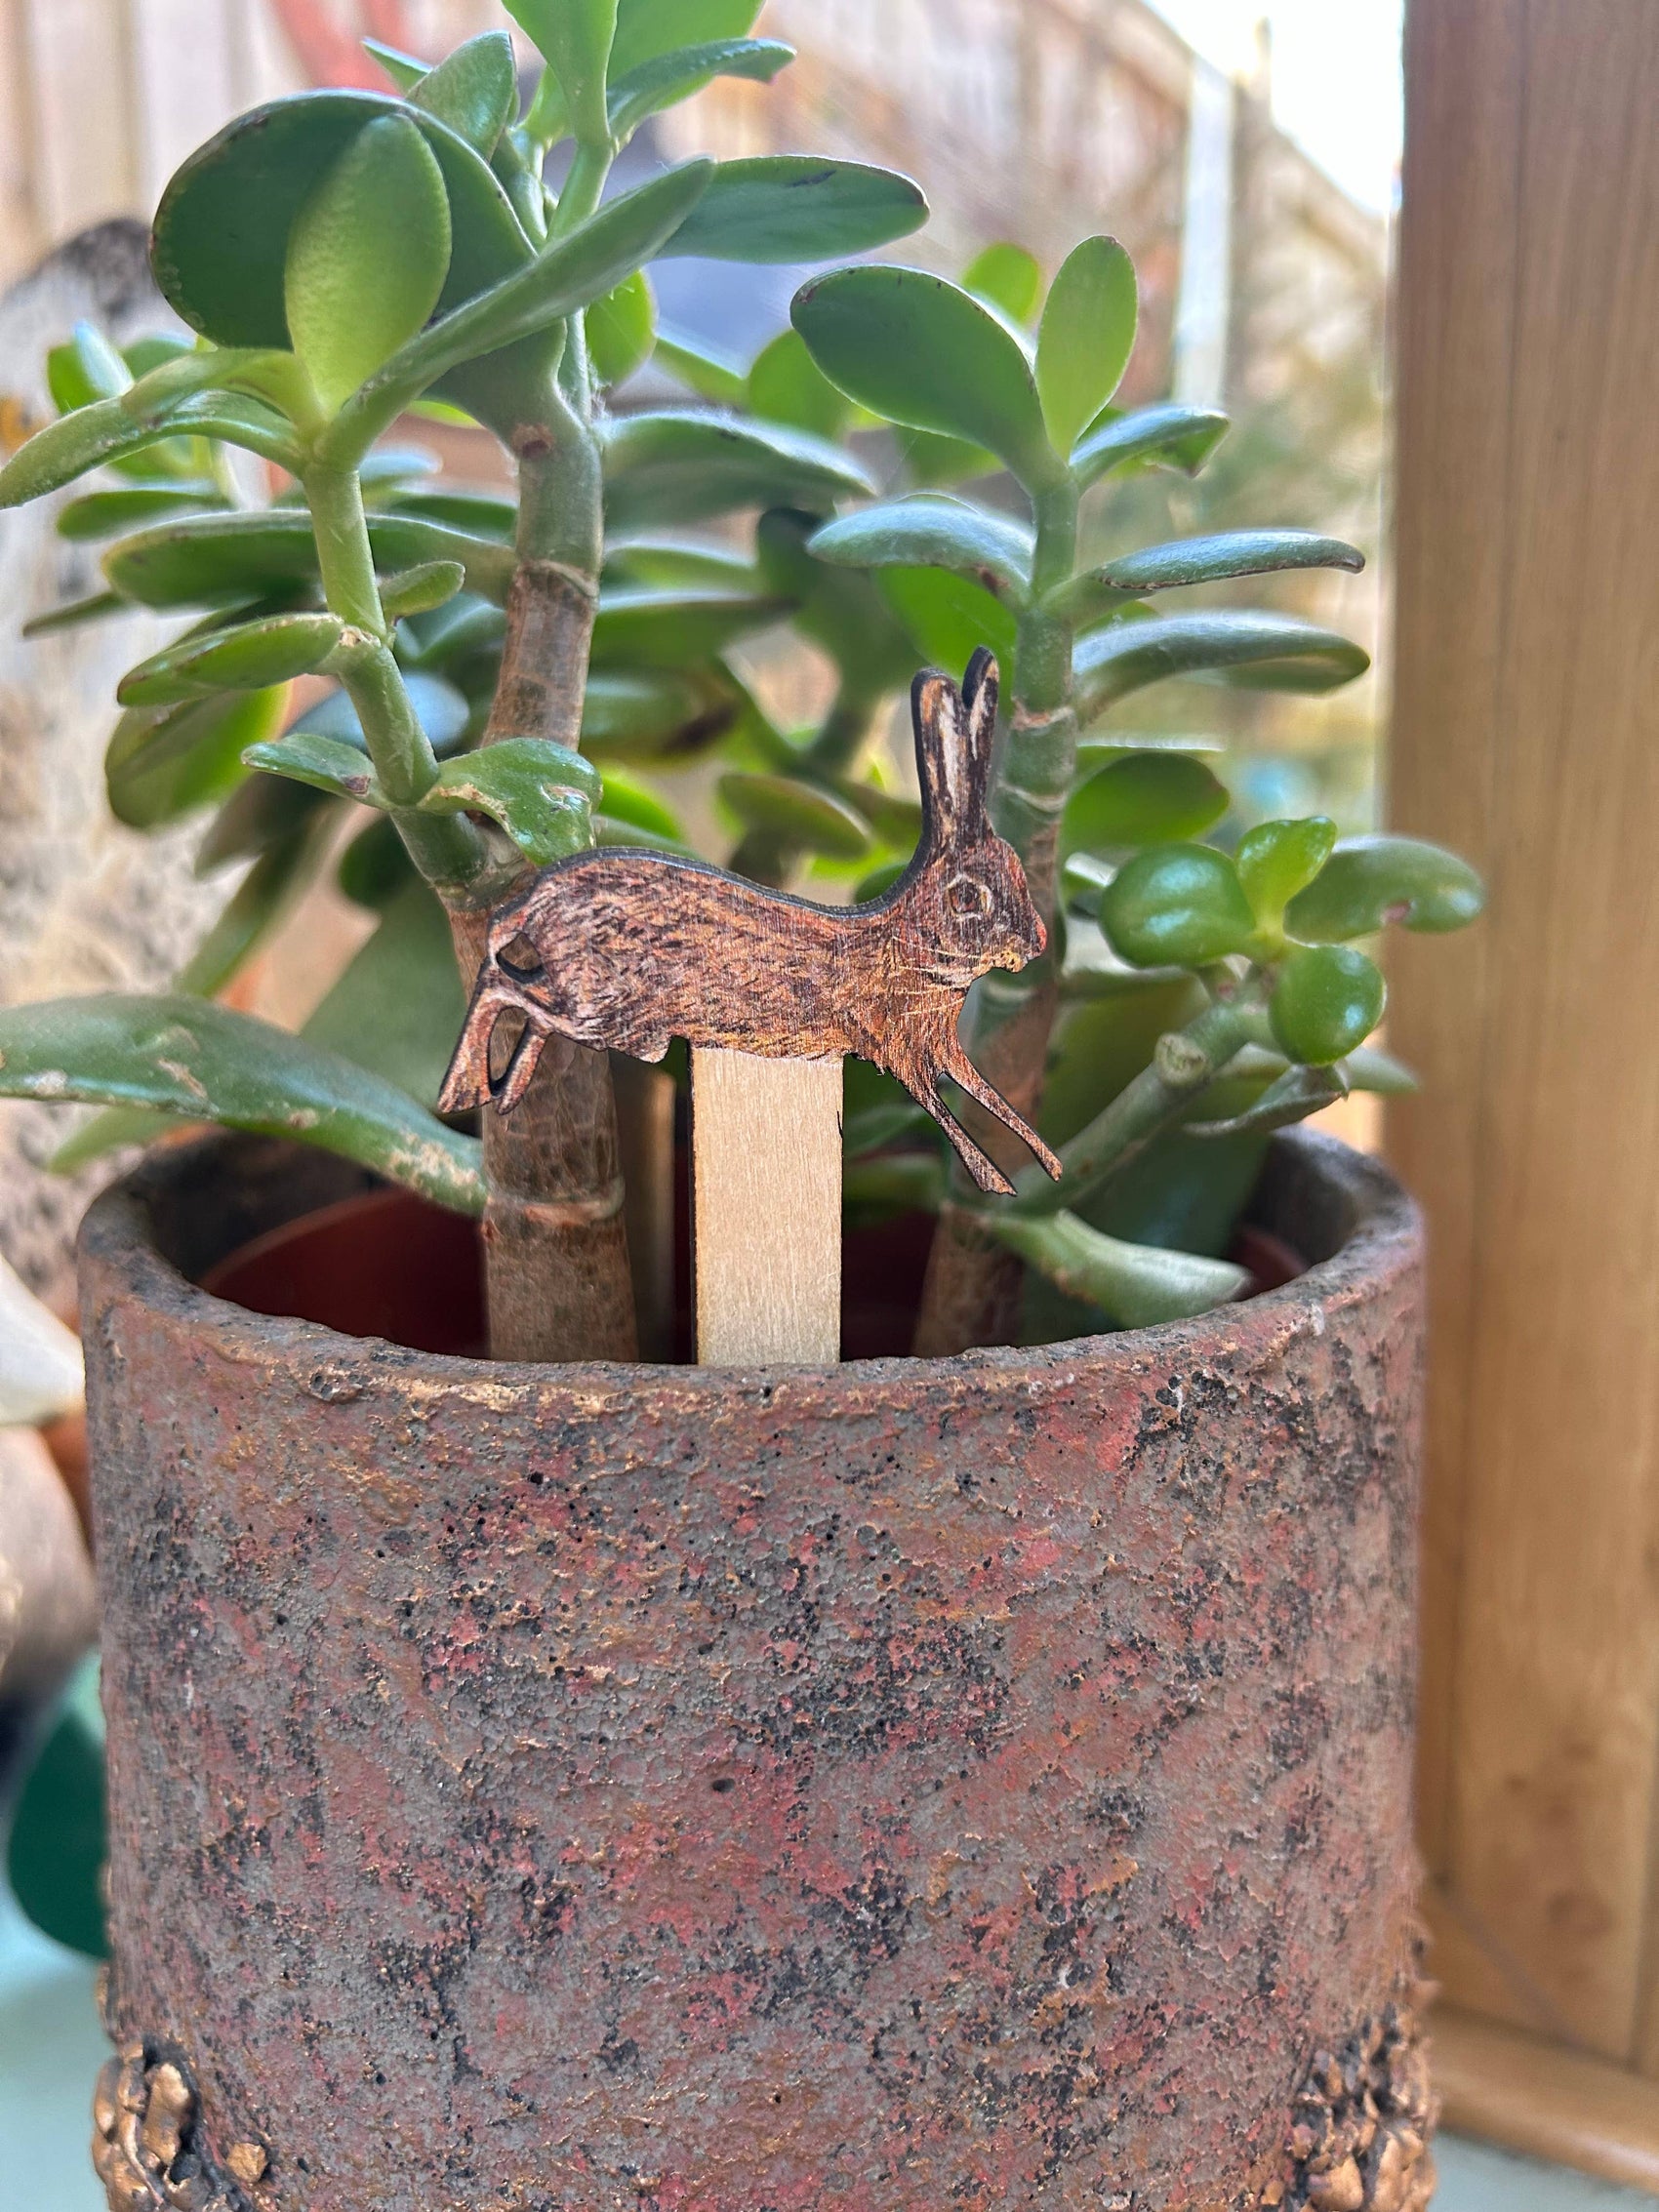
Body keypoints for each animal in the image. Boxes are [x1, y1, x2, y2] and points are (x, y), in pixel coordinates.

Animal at [439, 649, 1064, 1197]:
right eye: (969, 898)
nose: (1038, 942)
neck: (910, 950)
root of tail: (537, 897)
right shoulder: (901, 1052)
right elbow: (946, 1113)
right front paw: (995, 1181)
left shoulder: (941, 1049)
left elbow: (990, 1097)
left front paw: (1049, 1166)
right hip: (606, 1013)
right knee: (503, 986)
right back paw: (464, 1090)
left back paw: (500, 1092)